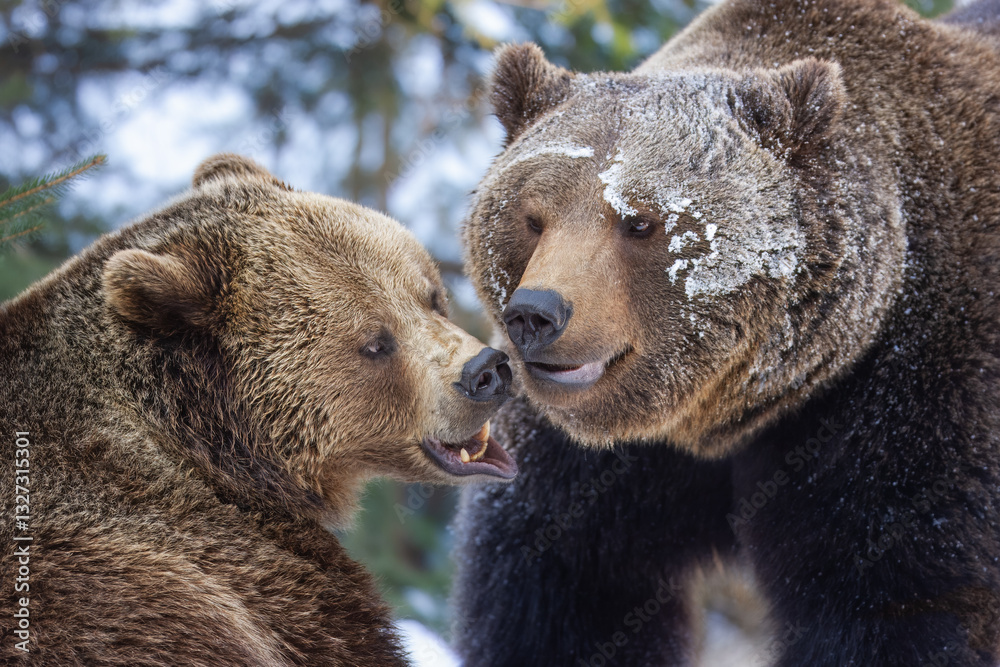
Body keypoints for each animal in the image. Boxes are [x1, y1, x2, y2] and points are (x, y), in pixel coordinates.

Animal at [451, 0, 1000, 665]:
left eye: (640, 222)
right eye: (533, 218)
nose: (535, 314)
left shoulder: (914, 400)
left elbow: (898, 602)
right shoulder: (588, 466)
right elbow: (558, 598)